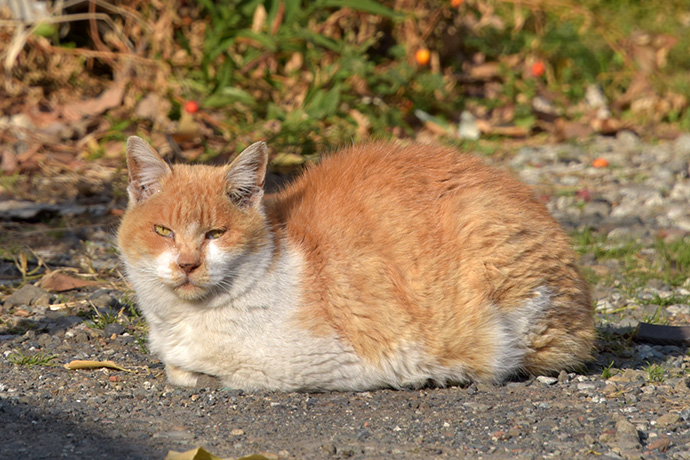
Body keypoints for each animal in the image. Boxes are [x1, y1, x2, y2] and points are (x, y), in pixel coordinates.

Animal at [117, 137, 592, 392]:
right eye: (163, 231)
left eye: (215, 234)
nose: (187, 264)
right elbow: (179, 367)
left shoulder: (332, 362)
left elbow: (206, 372)